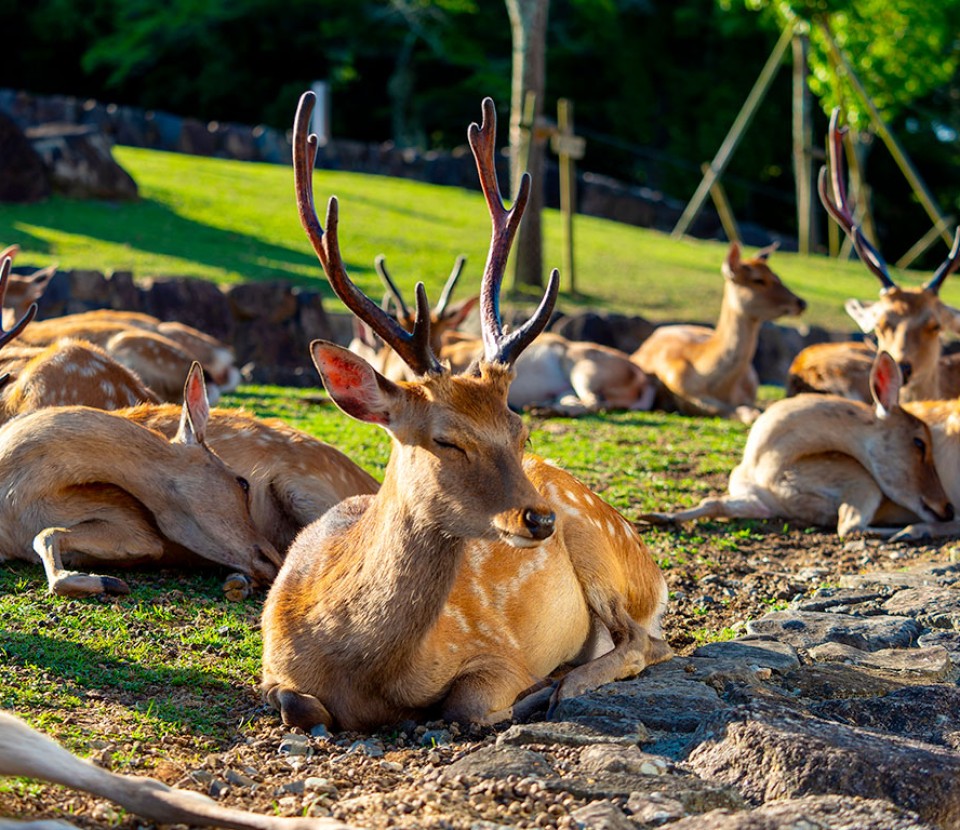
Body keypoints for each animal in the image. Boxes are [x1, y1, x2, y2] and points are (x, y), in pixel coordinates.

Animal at [258, 92, 672, 736]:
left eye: (520, 432)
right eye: (446, 439)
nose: (540, 520)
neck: (359, 671)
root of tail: (655, 576)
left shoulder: (498, 653)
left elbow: (469, 704)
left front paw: (530, 693)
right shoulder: (271, 663)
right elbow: (297, 702)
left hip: (600, 549)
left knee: (646, 643)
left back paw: (561, 684)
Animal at [628, 240, 808, 422]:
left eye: (777, 276)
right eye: (758, 279)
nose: (800, 302)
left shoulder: (747, 396)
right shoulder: (686, 395)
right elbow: (740, 412)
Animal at [636, 352, 952, 540]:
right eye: (919, 441)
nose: (946, 507)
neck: (768, 463)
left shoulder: (862, 484)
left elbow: (848, 525)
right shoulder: (762, 501)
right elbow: (713, 502)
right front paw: (652, 516)